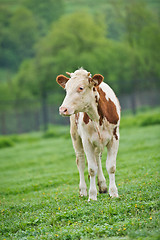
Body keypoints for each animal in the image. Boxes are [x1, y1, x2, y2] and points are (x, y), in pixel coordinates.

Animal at [56, 67, 120, 201]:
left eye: (81, 88)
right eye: (66, 88)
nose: (63, 109)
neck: (97, 116)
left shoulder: (115, 137)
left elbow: (111, 166)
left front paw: (113, 192)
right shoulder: (87, 141)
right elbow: (91, 169)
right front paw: (92, 195)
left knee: (97, 157)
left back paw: (102, 185)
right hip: (75, 137)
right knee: (80, 161)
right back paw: (83, 190)